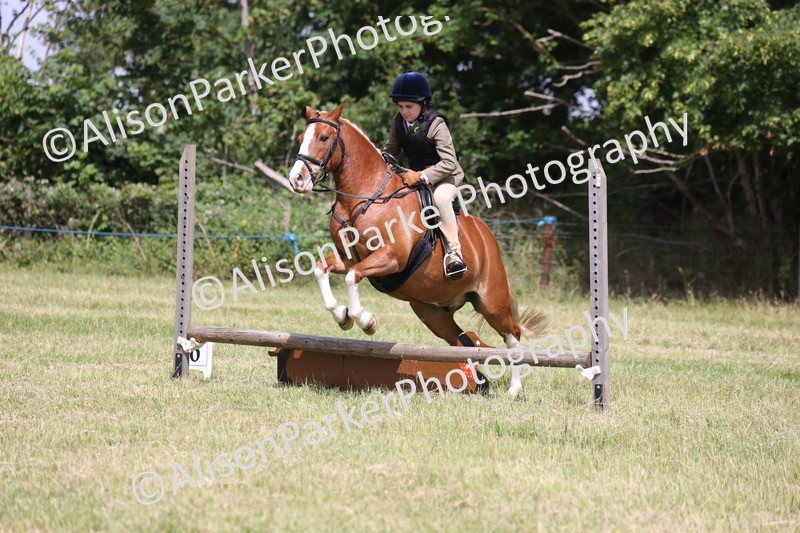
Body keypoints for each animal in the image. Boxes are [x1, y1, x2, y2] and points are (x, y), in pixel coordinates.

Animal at [287, 102, 546, 396]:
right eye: (301, 138)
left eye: (323, 138)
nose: (296, 180)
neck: (364, 196)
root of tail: (487, 236)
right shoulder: (348, 258)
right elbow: (323, 269)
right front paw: (342, 316)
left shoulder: (390, 259)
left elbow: (354, 277)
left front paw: (366, 321)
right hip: (433, 314)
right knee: (464, 342)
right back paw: (475, 382)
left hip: (491, 302)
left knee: (512, 335)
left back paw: (514, 388)